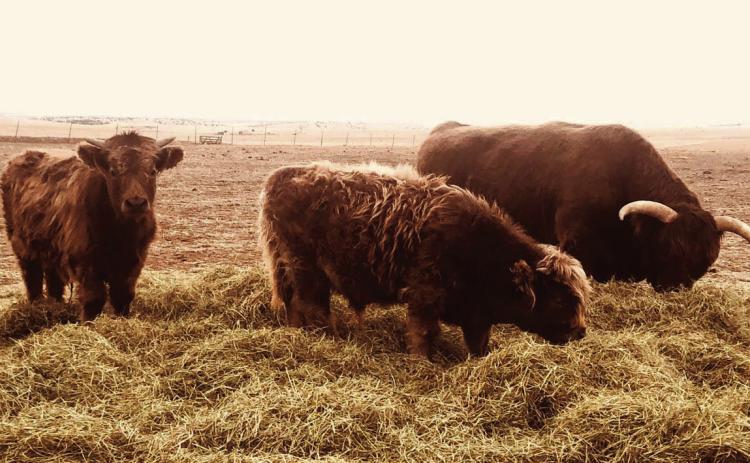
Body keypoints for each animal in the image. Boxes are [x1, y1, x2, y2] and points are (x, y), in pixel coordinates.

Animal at [1, 131, 184, 321]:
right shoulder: (85, 263)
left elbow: (123, 296)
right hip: (22, 245)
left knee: (53, 281)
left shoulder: (133, 262)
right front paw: (88, 323)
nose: (136, 203)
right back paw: (36, 306)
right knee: (32, 278)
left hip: (52, 248)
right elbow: (93, 299)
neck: (121, 232)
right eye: (113, 171)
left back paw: (55, 305)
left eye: (153, 171)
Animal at [258, 162, 590, 358]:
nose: (580, 331)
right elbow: (424, 333)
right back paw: (325, 338)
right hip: (306, 270)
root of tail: (279, 176)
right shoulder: (424, 296)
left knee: (294, 304)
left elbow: (478, 342)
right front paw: (424, 362)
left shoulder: (477, 314)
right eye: (560, 299)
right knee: (312, 306)